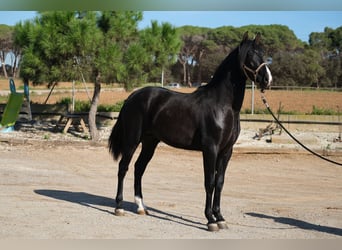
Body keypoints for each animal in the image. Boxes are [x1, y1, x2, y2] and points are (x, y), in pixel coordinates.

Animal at [108, 32, 272, 231]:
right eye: (250, 55)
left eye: (263, 53)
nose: (267, 80)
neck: (223, 106)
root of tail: (132, 97)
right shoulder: (210, 149)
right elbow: (209, 182)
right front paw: (210, 220)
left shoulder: (226, 151)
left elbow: (220, 182)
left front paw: (220, 217)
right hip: (132, 140)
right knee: (123, 168)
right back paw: (119, 207)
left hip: (150, 142)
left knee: (139, 168)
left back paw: (140, 207)